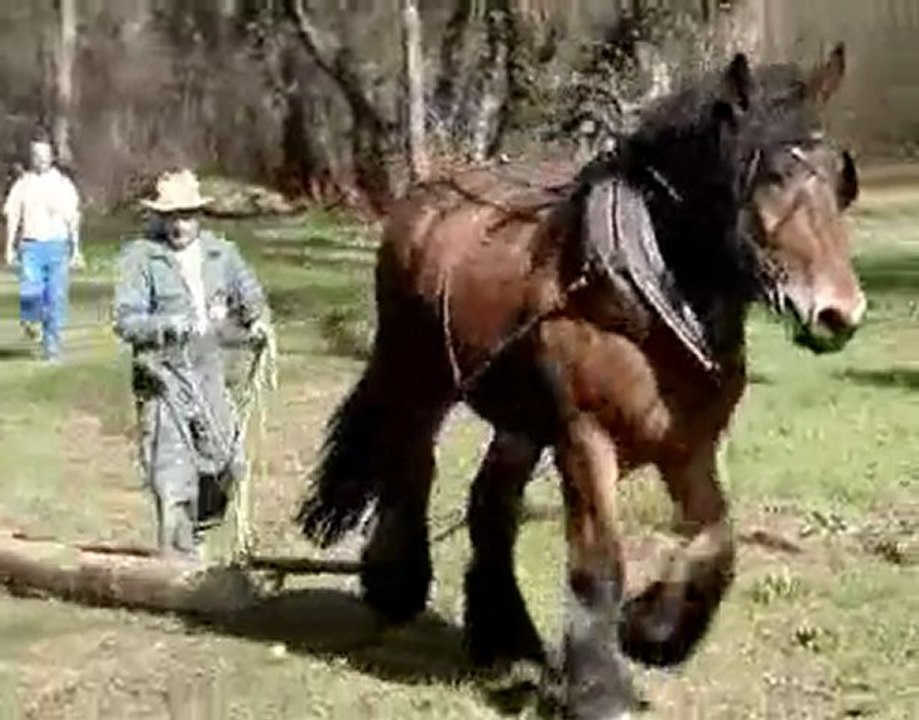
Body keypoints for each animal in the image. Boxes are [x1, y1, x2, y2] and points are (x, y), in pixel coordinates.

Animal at [296, 44, 864, 719]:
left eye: (839, 177)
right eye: (771, 175)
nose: (840, 313)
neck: (643, 295)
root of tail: (429, 196)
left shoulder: (686, 448)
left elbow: (717, 542)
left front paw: (651, 632)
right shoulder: (586, 439)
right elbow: (600, 563)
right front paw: (600, 687)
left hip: (519, 418)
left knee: (491, 505)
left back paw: (505, 634)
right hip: (420, 372)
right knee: (413, 463)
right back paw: (398, 583)